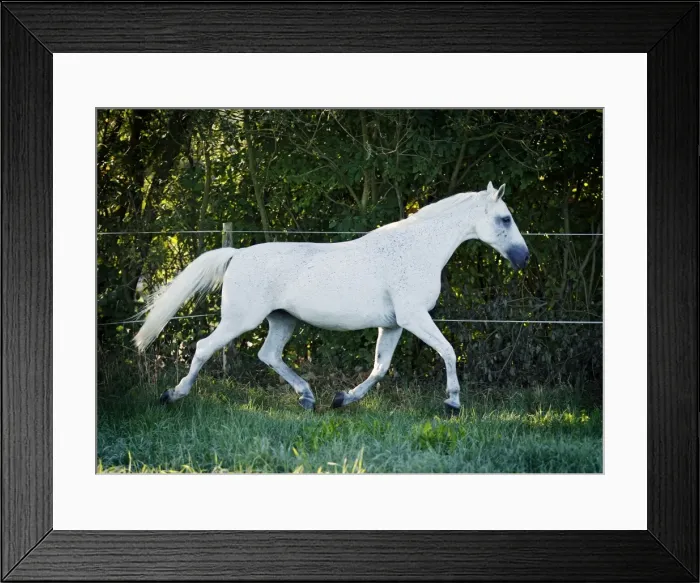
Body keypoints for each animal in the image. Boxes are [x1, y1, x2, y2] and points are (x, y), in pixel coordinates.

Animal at [133, 181, 529, 413]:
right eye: (505, 218)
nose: (524, 257)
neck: (415, 250)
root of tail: (237, 255)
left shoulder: (394, 325)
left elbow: (380, 367)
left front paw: (343, 399)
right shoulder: (414, 317)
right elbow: (447, 351)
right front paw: (452, 403)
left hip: (282, 319)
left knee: (269, 354)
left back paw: (308, 398)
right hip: (239, 320)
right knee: (204, 347)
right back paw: (173, 395)